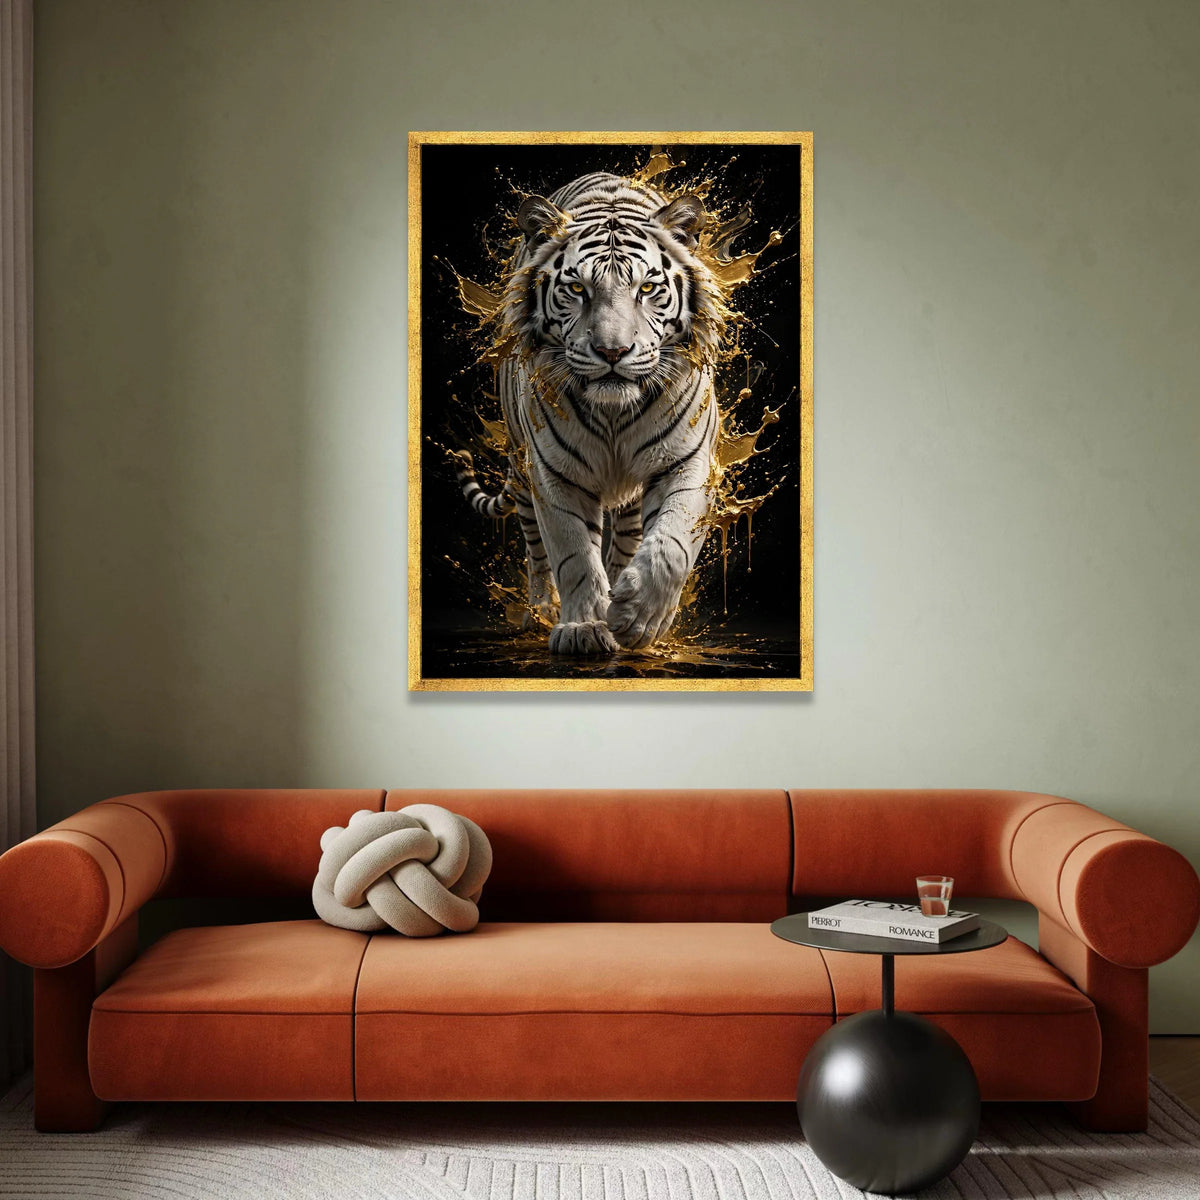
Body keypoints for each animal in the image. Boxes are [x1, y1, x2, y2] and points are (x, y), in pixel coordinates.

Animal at [452, 171, 728, 656]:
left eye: (647, 289)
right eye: (577, 289)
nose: (612, 351)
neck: (614, 412)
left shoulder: (687, 460)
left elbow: (671, 543)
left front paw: (639, 618)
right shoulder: (553, 472)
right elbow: (573, 553)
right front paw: (582, 628)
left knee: (629, 536)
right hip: (522, 470)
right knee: (536, 549)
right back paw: (541, 610)